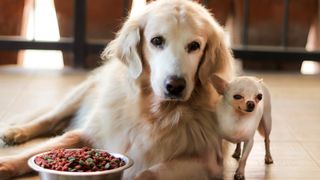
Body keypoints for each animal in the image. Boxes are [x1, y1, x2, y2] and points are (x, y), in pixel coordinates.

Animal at [1, 0, 234, 179]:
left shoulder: (209, 163)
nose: (175, 86)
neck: (155, 113)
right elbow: (53, 144)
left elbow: (147, 172)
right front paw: (6, 164)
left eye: (195, 46)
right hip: (80, 95)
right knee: (49, 118)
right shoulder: (90, 132)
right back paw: (14, 132)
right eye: (156, 41)